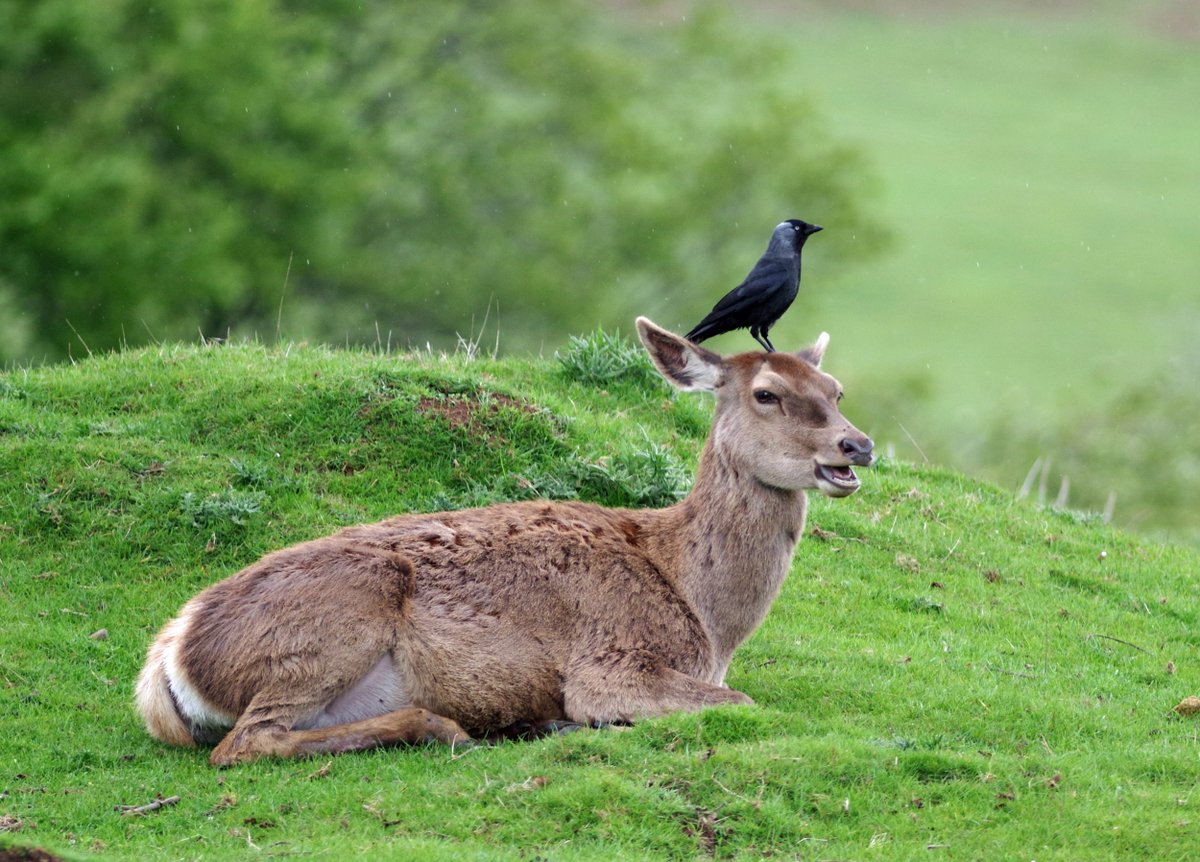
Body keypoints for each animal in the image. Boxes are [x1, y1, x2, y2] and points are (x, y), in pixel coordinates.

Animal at [136, 321, 878, 768]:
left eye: (836, 389)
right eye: (766, 394)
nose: (857, 445)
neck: (707, 618)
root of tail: (171, 652)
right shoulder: (611, 662)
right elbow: (742, 704)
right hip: (333, 622)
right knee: (243, 744)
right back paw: (448, 727)